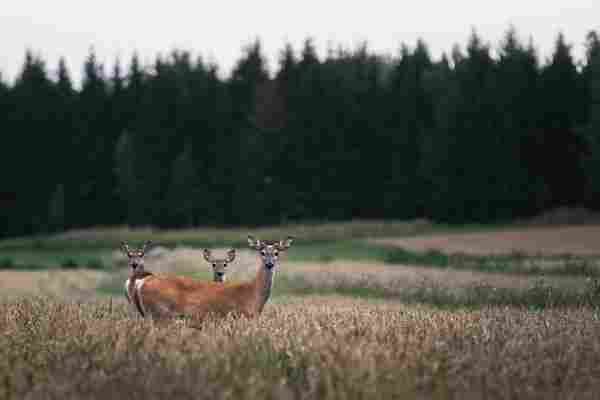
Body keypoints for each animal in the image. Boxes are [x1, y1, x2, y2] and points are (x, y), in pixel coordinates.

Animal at [130, 236, 294, 320]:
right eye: (262, 252)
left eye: (277, 253)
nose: (269, 264)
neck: (254, 294)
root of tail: (142, 282)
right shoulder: (241, 316)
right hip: (159, 313)